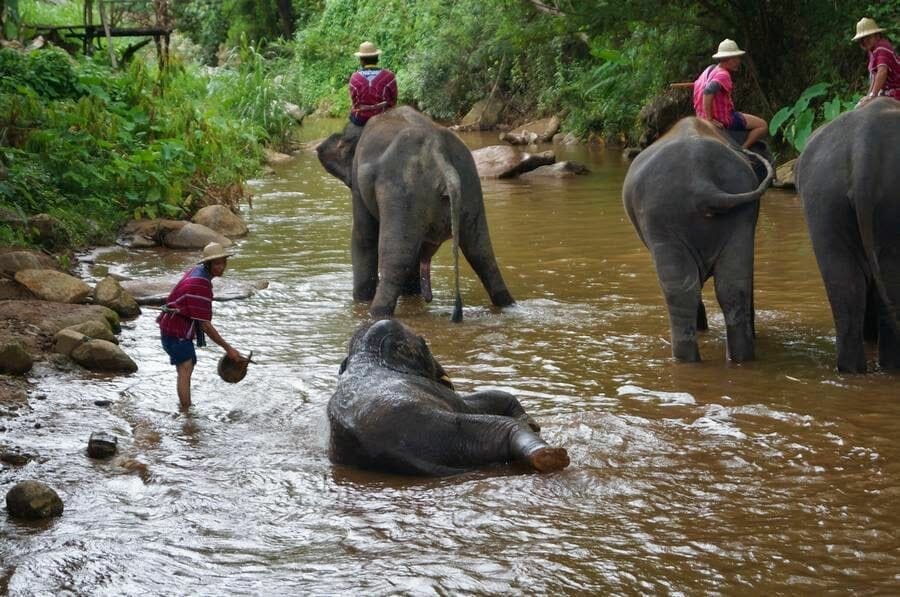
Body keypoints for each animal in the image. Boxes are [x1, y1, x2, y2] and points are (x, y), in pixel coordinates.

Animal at [316, 106, 515, 322]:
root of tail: (440, 155)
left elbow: (363, 237)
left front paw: (361, 300)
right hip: (470, 187)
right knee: (482, 255)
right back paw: (508, 305)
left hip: (405, 192)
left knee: (396, 259)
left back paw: (376, 314)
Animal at [328, 319, 570, 476]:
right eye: (425, 344)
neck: (367, 356)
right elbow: (469, 404)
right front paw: (532, 423)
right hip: (452, 433)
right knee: (506, 428)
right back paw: (551, 456)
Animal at [622, 117, 773, 362]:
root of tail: (701, 184)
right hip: (729, 215)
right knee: (729, 289)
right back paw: (738, 358)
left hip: (661, 221)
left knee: (683, 292)